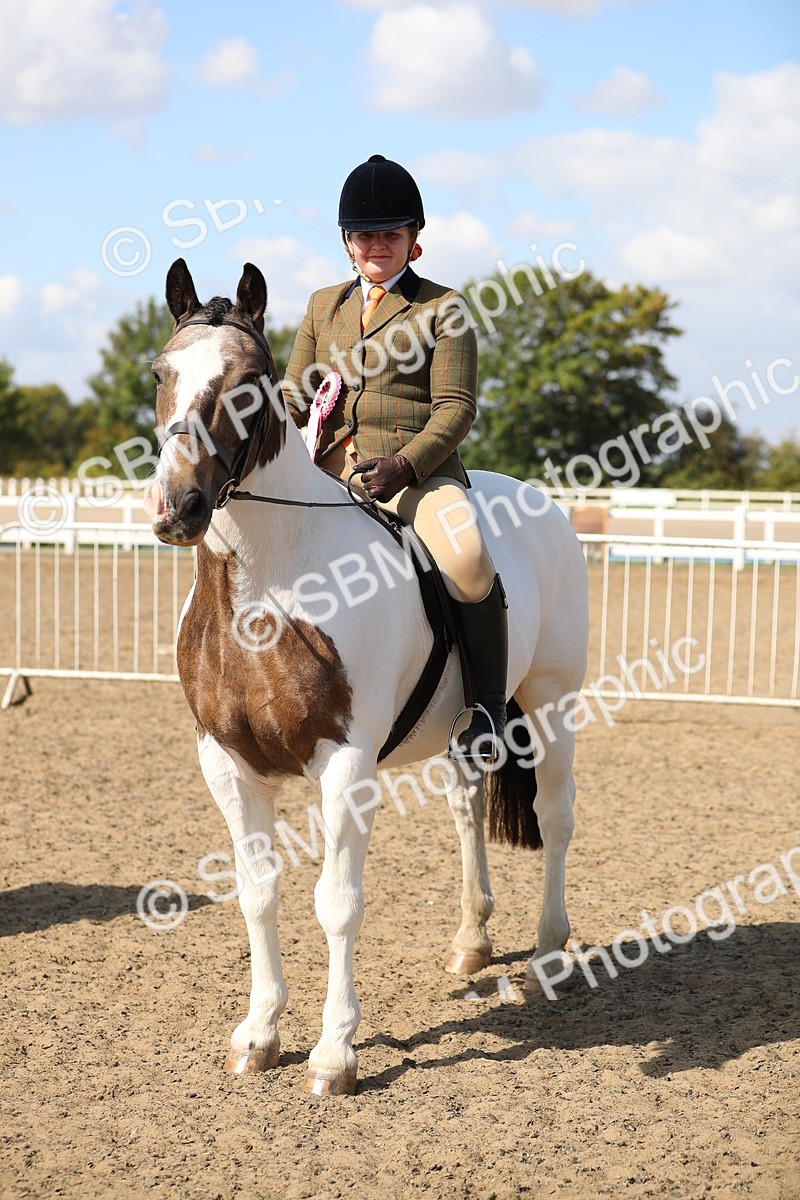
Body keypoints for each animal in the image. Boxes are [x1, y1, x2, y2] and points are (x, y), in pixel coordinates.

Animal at [144, 258, 589, 1096]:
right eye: (161, 373)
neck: (269, 585)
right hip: (463, 734)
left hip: (552, 703)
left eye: (247, 382)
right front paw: (259, 1035)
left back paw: (548, 955)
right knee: (466, 811)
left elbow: (338, 903)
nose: (177, 507)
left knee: (555, 816)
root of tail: (537, 498)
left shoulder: (345, 766)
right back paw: (472, 943)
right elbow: (258, 892)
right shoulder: (228, 764)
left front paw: (333, 1055)